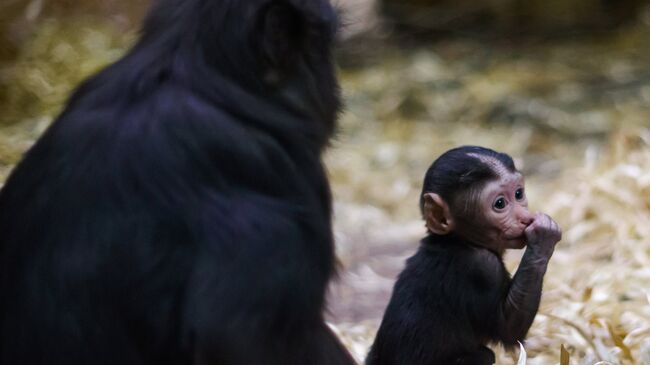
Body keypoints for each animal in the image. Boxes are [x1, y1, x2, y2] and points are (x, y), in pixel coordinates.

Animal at [368, 145, 560, 364]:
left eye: (519, 194)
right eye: (500, 204)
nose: (524, 218)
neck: (457, 241)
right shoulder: (483, 267)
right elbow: (509, 330)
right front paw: (543, 237)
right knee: (485, 355)